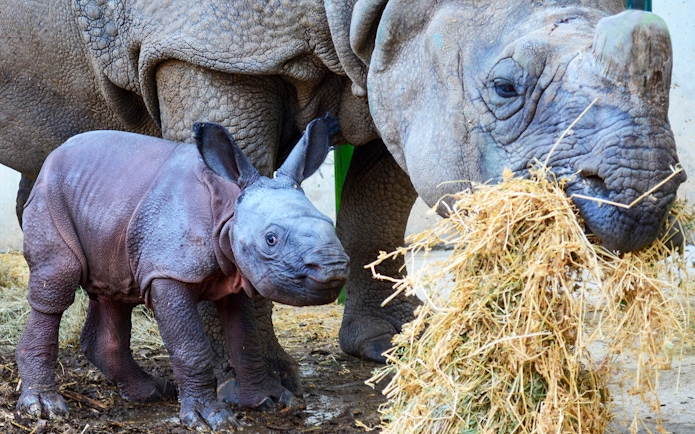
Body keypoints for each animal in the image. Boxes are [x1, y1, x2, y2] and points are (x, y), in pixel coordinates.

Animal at [16, 115, 349, 430]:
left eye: (330, 224)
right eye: (271, 239)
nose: (333, 267)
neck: (229, 209)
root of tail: (54, 155)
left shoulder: (235, 273)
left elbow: (245, 338)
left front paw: (271, 399)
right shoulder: (168, 272)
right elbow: (191, 347)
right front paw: (210, 419)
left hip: (109, 206)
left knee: (115, 290)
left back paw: (150, 392)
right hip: (50, 195)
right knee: (57, 283)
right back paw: (44, 407)